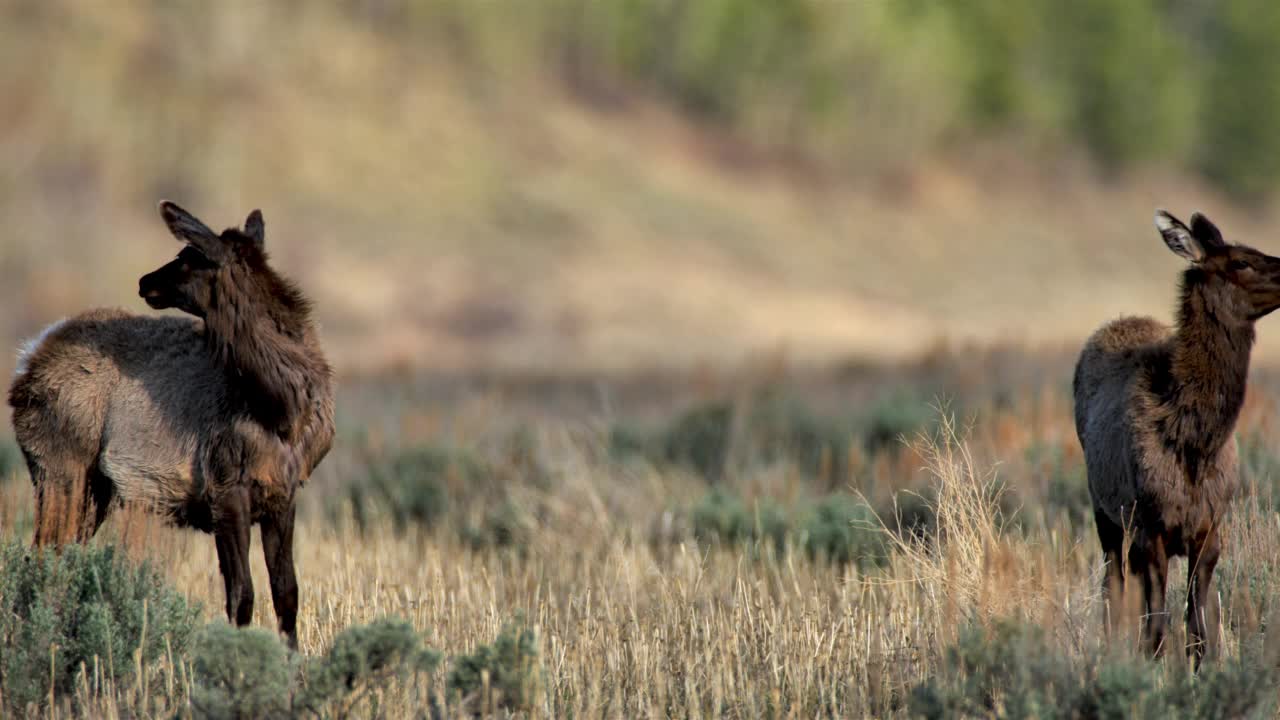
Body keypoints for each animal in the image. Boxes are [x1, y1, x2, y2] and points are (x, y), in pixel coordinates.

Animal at [8, 199, 335, 645]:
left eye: (189, 256)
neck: (281, 407)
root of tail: (26, 361)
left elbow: (286, 594)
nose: (145, 280)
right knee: (45, 559)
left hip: (95, 488)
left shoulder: (282, 494)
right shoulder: (224, 487)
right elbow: (241, 596)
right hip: (60, 467)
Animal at [1070, 207, 1280, 661]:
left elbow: (1199, 632)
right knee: (1113, 591)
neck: (1195, 442)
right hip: (1104, 512)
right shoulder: (1151, 529)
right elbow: (1157, 631)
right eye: (1240, 261)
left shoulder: (1210, 531)